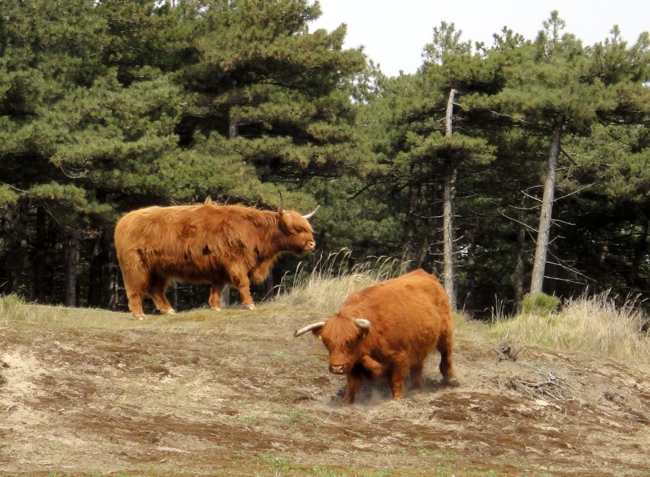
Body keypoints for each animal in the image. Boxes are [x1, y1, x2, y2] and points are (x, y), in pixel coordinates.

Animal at [114, 197, 316, 320]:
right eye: (297, 228)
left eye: (307, 228)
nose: (312, 244)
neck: (254, 231)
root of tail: (125, 220)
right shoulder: (235, 262)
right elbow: (243, 283)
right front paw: (250, 305)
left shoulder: (220, 268)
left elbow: (217, 287)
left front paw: (215, 306)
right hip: (136, 266)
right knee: (135, 290)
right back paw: (139, 315)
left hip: (159, 269)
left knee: (156, 290)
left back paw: (169, 310)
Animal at [294, 270, 456, 404]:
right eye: (327, 342)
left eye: (351, 341)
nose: (337, 367)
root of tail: (424, 273)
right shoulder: (352, 363)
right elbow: (352, 384)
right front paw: (346, 402)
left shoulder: (400, 357)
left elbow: (396, 380)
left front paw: (397, 399)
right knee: (418, 366)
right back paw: (416, 388)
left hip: (445, 333)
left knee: (446, 354)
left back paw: (451, 378)